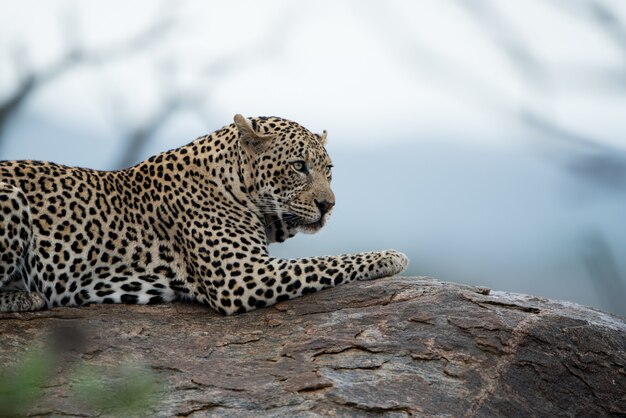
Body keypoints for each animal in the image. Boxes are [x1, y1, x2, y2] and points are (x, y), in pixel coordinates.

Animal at [0, 113, 408, 314]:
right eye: (298, 166)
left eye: (329, 170)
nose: (329, 205)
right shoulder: (241, 276)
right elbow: (325, 261)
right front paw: (391, 256)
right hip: (11, 197)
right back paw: (27, 297)